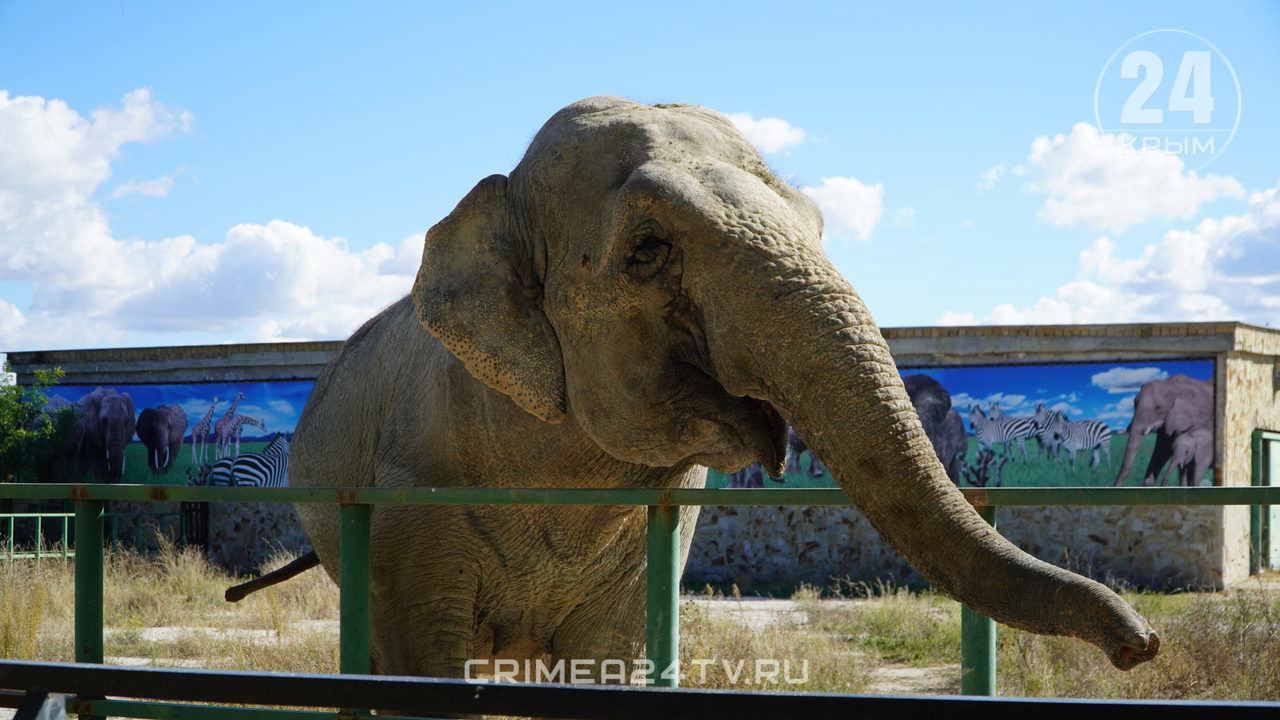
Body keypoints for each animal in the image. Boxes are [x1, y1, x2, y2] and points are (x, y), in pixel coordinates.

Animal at [288, 96, 1162, 676]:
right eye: (647, 250)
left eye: (816, 225)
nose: (1141, 645)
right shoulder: (407, 499)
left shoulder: (657, 536)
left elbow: (607, 664)